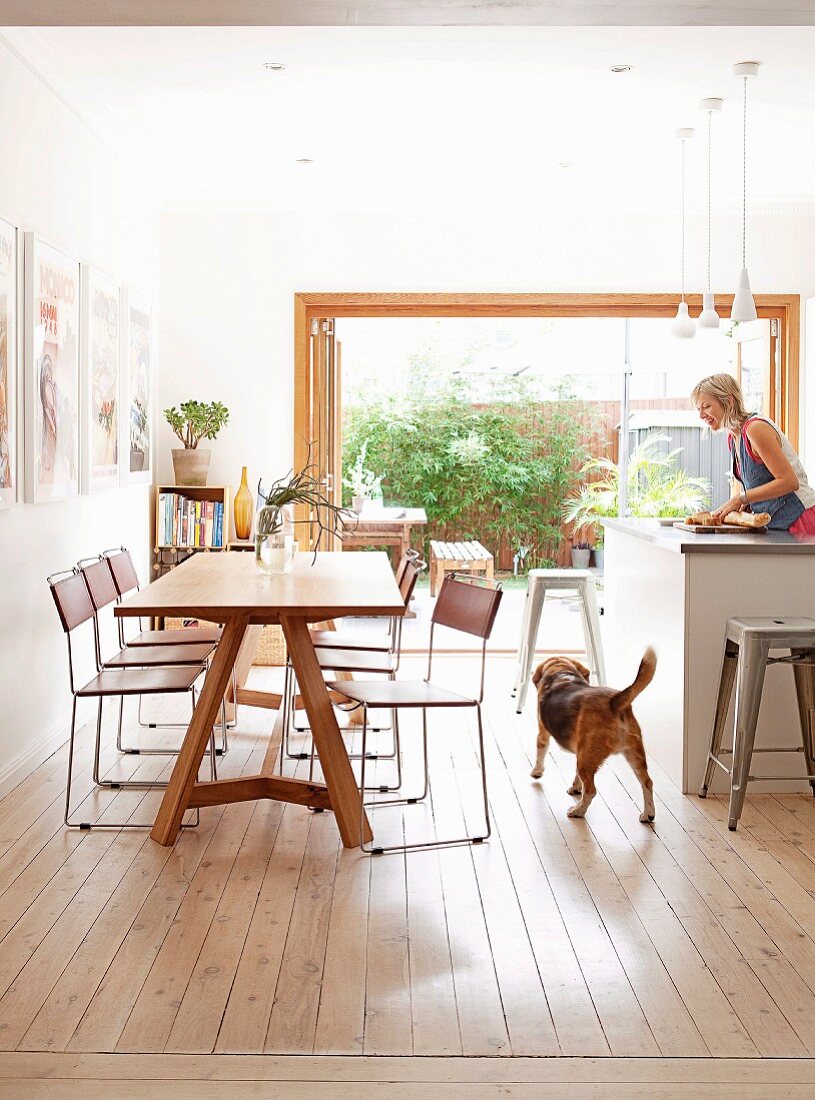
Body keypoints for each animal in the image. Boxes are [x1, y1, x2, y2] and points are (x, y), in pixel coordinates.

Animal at [530, 646, 659, 822]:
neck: (561, 673)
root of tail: (614, 702)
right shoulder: (580, 748)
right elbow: (576, 776)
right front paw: (575, 787)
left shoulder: (543, 732)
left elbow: (540, 753)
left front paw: (536, 772)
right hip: (633, 755)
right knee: (647, 782)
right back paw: (648, 814)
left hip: (586, 759)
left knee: (591, 791)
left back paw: (577, 811)